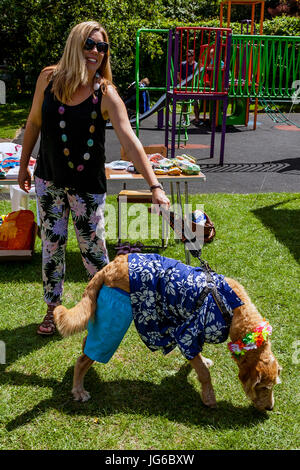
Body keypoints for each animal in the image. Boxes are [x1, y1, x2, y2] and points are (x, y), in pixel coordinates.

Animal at [54, 253, 282, 412]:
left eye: (273, 386)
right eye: (263, 387)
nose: (270, 408)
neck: (233, 308)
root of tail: (109, 266)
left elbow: (199, 360)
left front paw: (204, 362)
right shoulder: (187, 334)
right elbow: (204, 373)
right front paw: (209, 398)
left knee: (86, 346)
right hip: (114, 320)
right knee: (83, 359)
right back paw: (79, 390)